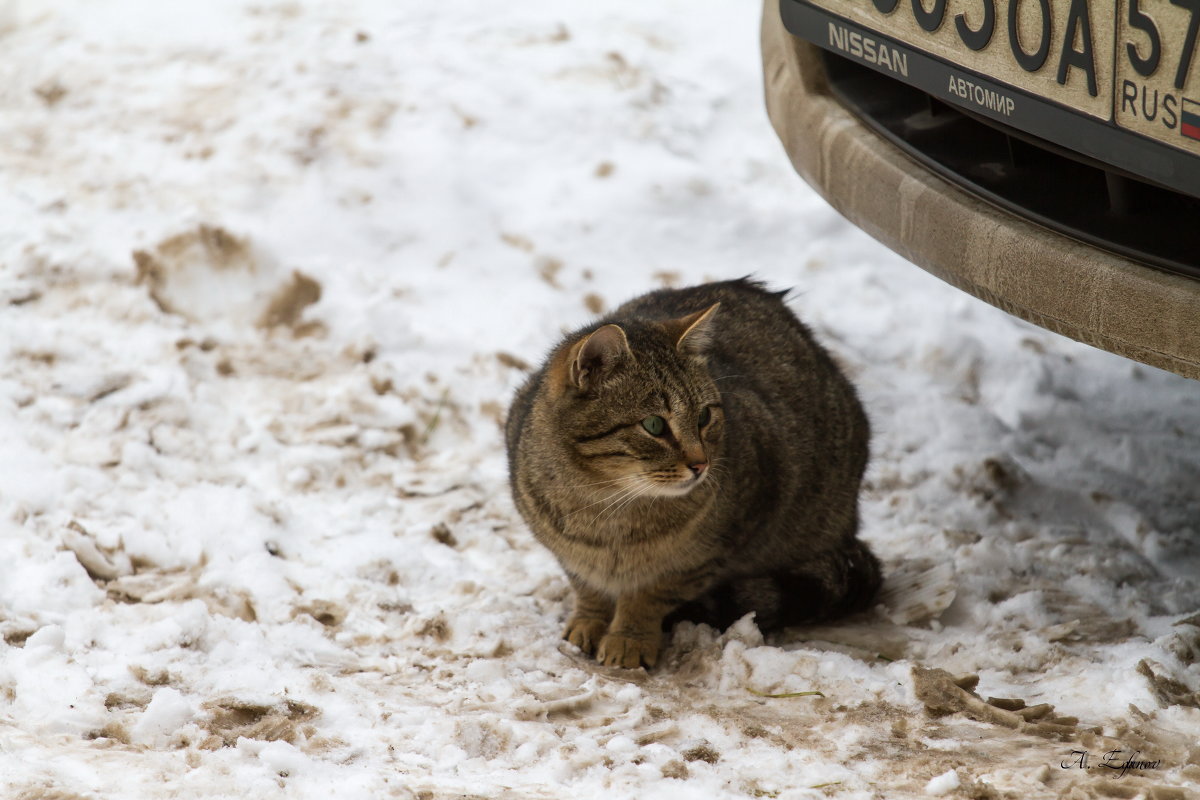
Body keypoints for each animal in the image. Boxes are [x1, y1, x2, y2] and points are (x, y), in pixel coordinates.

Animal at [501, 280, 878, 671]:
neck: (606, 506)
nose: (702, 464)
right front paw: (587, 623)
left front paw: (628, 638)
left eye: (704, 417)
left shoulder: (707, 555)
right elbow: (587, 587)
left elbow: (649, 596)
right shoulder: (563, 550)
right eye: (654, 425)